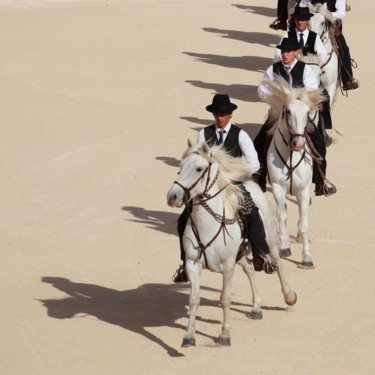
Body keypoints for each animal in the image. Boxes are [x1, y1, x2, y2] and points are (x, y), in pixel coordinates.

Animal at [167, 142, 296, 348]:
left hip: (268, 241)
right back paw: (256, 307)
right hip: (241, 255)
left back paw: (289, 296)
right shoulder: (193, 264)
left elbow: (225, 298)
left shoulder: (228, 266)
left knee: (278, 264)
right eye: (180, 166)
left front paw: (224, 334)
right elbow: (194, 299)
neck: (208, 225)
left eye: (199, 169)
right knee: (250, 268)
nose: (172, 196)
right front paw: (189, 336)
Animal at [264, 78, 326, 268]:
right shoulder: (277, 187)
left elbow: (304, 224)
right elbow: (281, 215)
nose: (298, 143)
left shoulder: (303, 190)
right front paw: (284, 247)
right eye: (288, 111)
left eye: (307, 112)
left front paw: (307, 257)